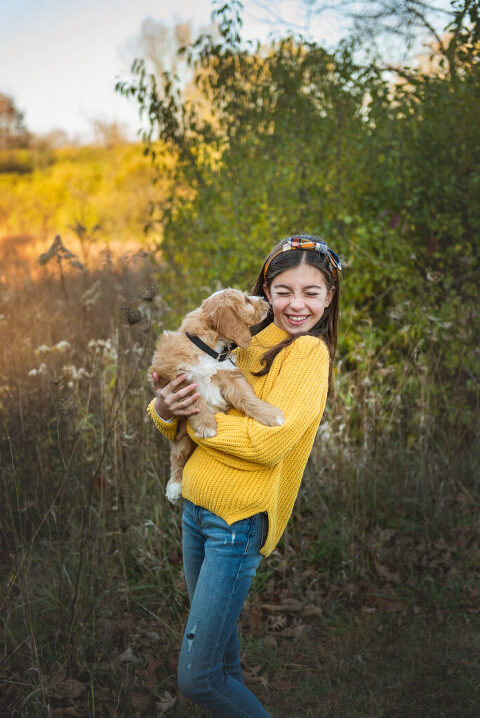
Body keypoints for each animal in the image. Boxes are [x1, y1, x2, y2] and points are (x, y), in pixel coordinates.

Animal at [150, 288, 284, 506]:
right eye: (246, 300)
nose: (265, 301)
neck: (208, 348)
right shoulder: (177, 378)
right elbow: (196, 399)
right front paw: (206, 426)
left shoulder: (230, 376)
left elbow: (247, 397)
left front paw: (271, 415)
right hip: (181, 437)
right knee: (177, 456)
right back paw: (174, 487)